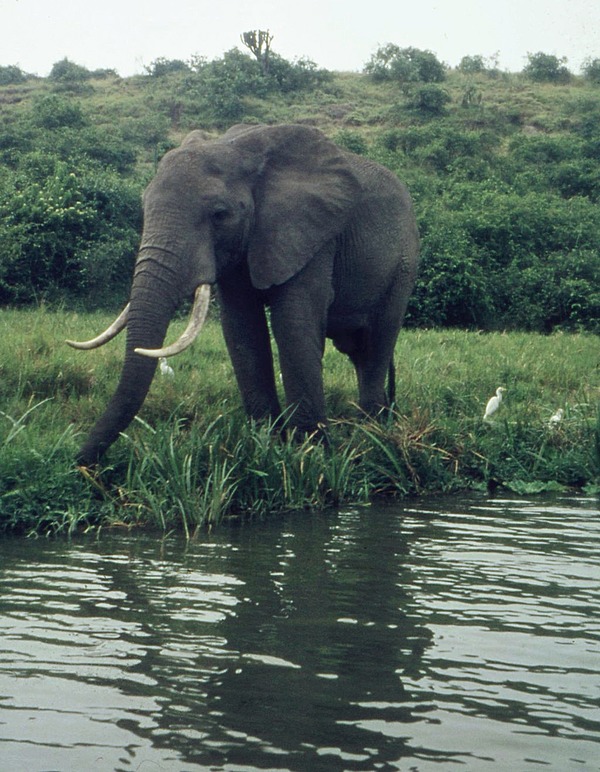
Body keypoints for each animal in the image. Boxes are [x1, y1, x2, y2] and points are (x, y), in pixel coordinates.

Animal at [68, 122, 418, 464]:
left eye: (219, 215)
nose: (80, 464)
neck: (240, 150)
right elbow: (242, 329)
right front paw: (266, 444)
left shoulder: (314, 235)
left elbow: (294, 325)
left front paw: (310, 454)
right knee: (360, 351)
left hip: (402, 267)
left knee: (376, 345)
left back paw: (373, 435)